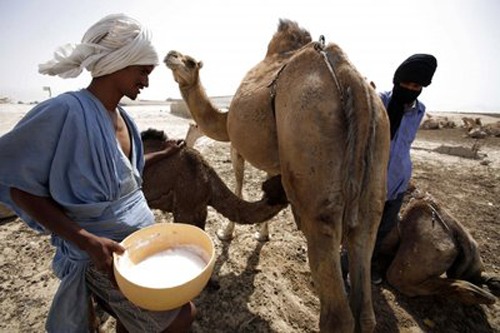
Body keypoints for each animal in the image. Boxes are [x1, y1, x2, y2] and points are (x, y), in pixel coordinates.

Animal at [166, 18, 388, 332]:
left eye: (188, 61)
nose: (170, 54)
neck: (223, 118)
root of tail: (351, 80)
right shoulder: (277, 159)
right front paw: (263, 235)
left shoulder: (236, 143)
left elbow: (238, 180)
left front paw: (227, 232)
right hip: (377, 153)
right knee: (365, 273)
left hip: (309, 137)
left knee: (337, 309)